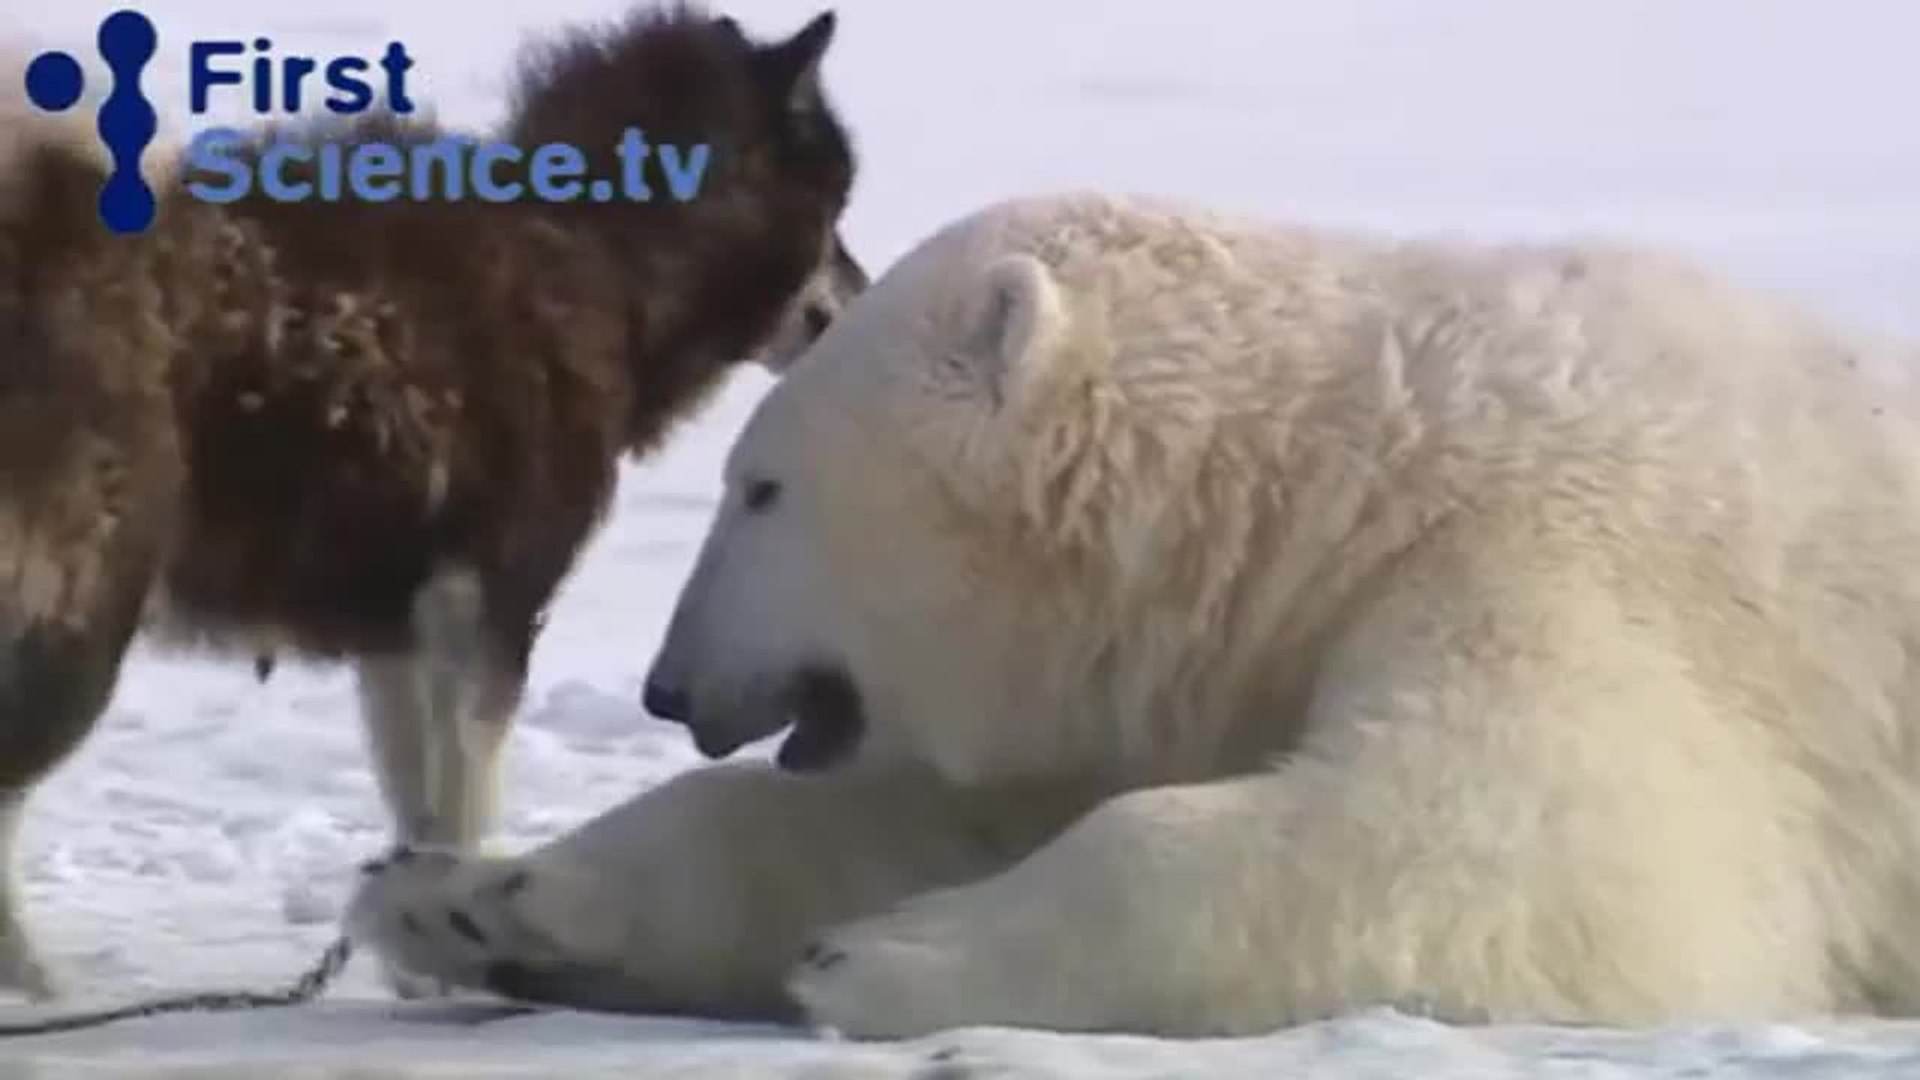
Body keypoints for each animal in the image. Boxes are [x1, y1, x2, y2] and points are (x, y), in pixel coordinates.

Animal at [346, 190, 1920, 1039]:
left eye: (763, 486)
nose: (671, 687)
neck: (1353, 463)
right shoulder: (1182, 660)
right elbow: (927, 816)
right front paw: (463, 897)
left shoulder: (1579, 567)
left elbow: (1522, 845)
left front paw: (891, 955)